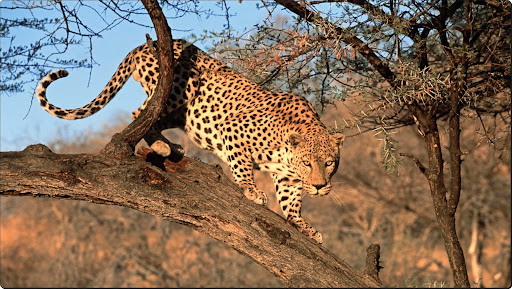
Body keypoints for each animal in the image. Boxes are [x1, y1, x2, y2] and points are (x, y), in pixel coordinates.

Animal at [37, 37, 344, 241]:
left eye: (329, 163)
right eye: (308, 163)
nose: (320, 187)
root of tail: (146, 45)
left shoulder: (288, 177)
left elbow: (291, 201)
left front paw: (303, 225)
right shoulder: (233, 130)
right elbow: (243, 166)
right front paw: (251, 190)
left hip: (183, 112)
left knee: (153, 118)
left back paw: (171, 146)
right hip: (181, 88)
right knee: (141, 113)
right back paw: (163, 146)